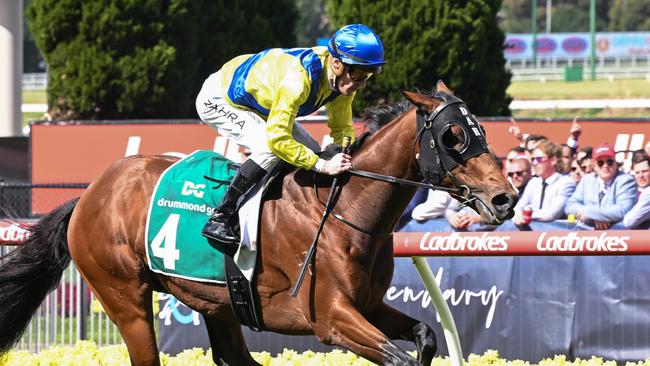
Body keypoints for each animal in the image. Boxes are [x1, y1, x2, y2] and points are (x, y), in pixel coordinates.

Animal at [0, 81, 516, 364]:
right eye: (453, 136)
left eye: (481, 132)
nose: (506, 198)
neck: (345, 211)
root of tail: (90, 193)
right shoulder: (331, 317)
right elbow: (398, 358)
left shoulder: (368, 305)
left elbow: (427, 336)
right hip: (123, 294)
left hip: (216, 300)